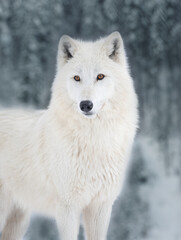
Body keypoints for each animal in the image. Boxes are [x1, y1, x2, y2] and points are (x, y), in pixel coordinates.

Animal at [0, 32, 137, 240]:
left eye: (100, 76)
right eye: (77, 78)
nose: (86, 105)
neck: (93, 140)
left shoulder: (100, 207)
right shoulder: (67, 208)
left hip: (18, 221)